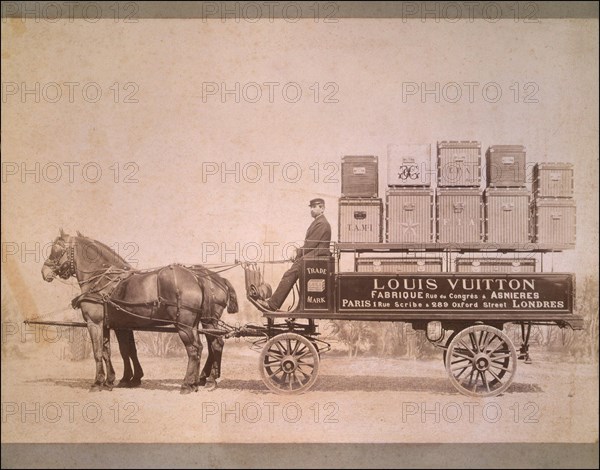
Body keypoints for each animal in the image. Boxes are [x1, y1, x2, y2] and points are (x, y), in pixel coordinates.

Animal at [41, 229, 237, 394]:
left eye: (56, 250)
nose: (44, 272)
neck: (103, 280)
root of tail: (198, 278)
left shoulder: (94, 323)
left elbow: (99, 352)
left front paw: (98, 383)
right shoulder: (115, 325)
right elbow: (116, 351)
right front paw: (115, 380)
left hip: (186, 325)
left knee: (196, 348)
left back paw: (190, 384)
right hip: (200, 322)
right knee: (210, 345)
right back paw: (200, 381)